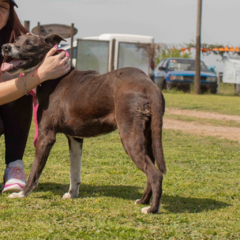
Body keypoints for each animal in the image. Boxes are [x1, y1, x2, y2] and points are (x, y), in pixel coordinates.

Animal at [1, 33, 166, 214]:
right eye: (16, 40)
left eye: (29, 44)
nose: (5, 47)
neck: (52, 78)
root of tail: (148, 84)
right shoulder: (75, 138)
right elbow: (74, 172)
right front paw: (72, 194)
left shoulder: (46, 136)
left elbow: (35, 171)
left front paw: (22, 194)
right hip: (147, 137)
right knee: (151, 171)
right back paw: (144, 201)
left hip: (129, 137)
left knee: (156, 174)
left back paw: (152, 209)